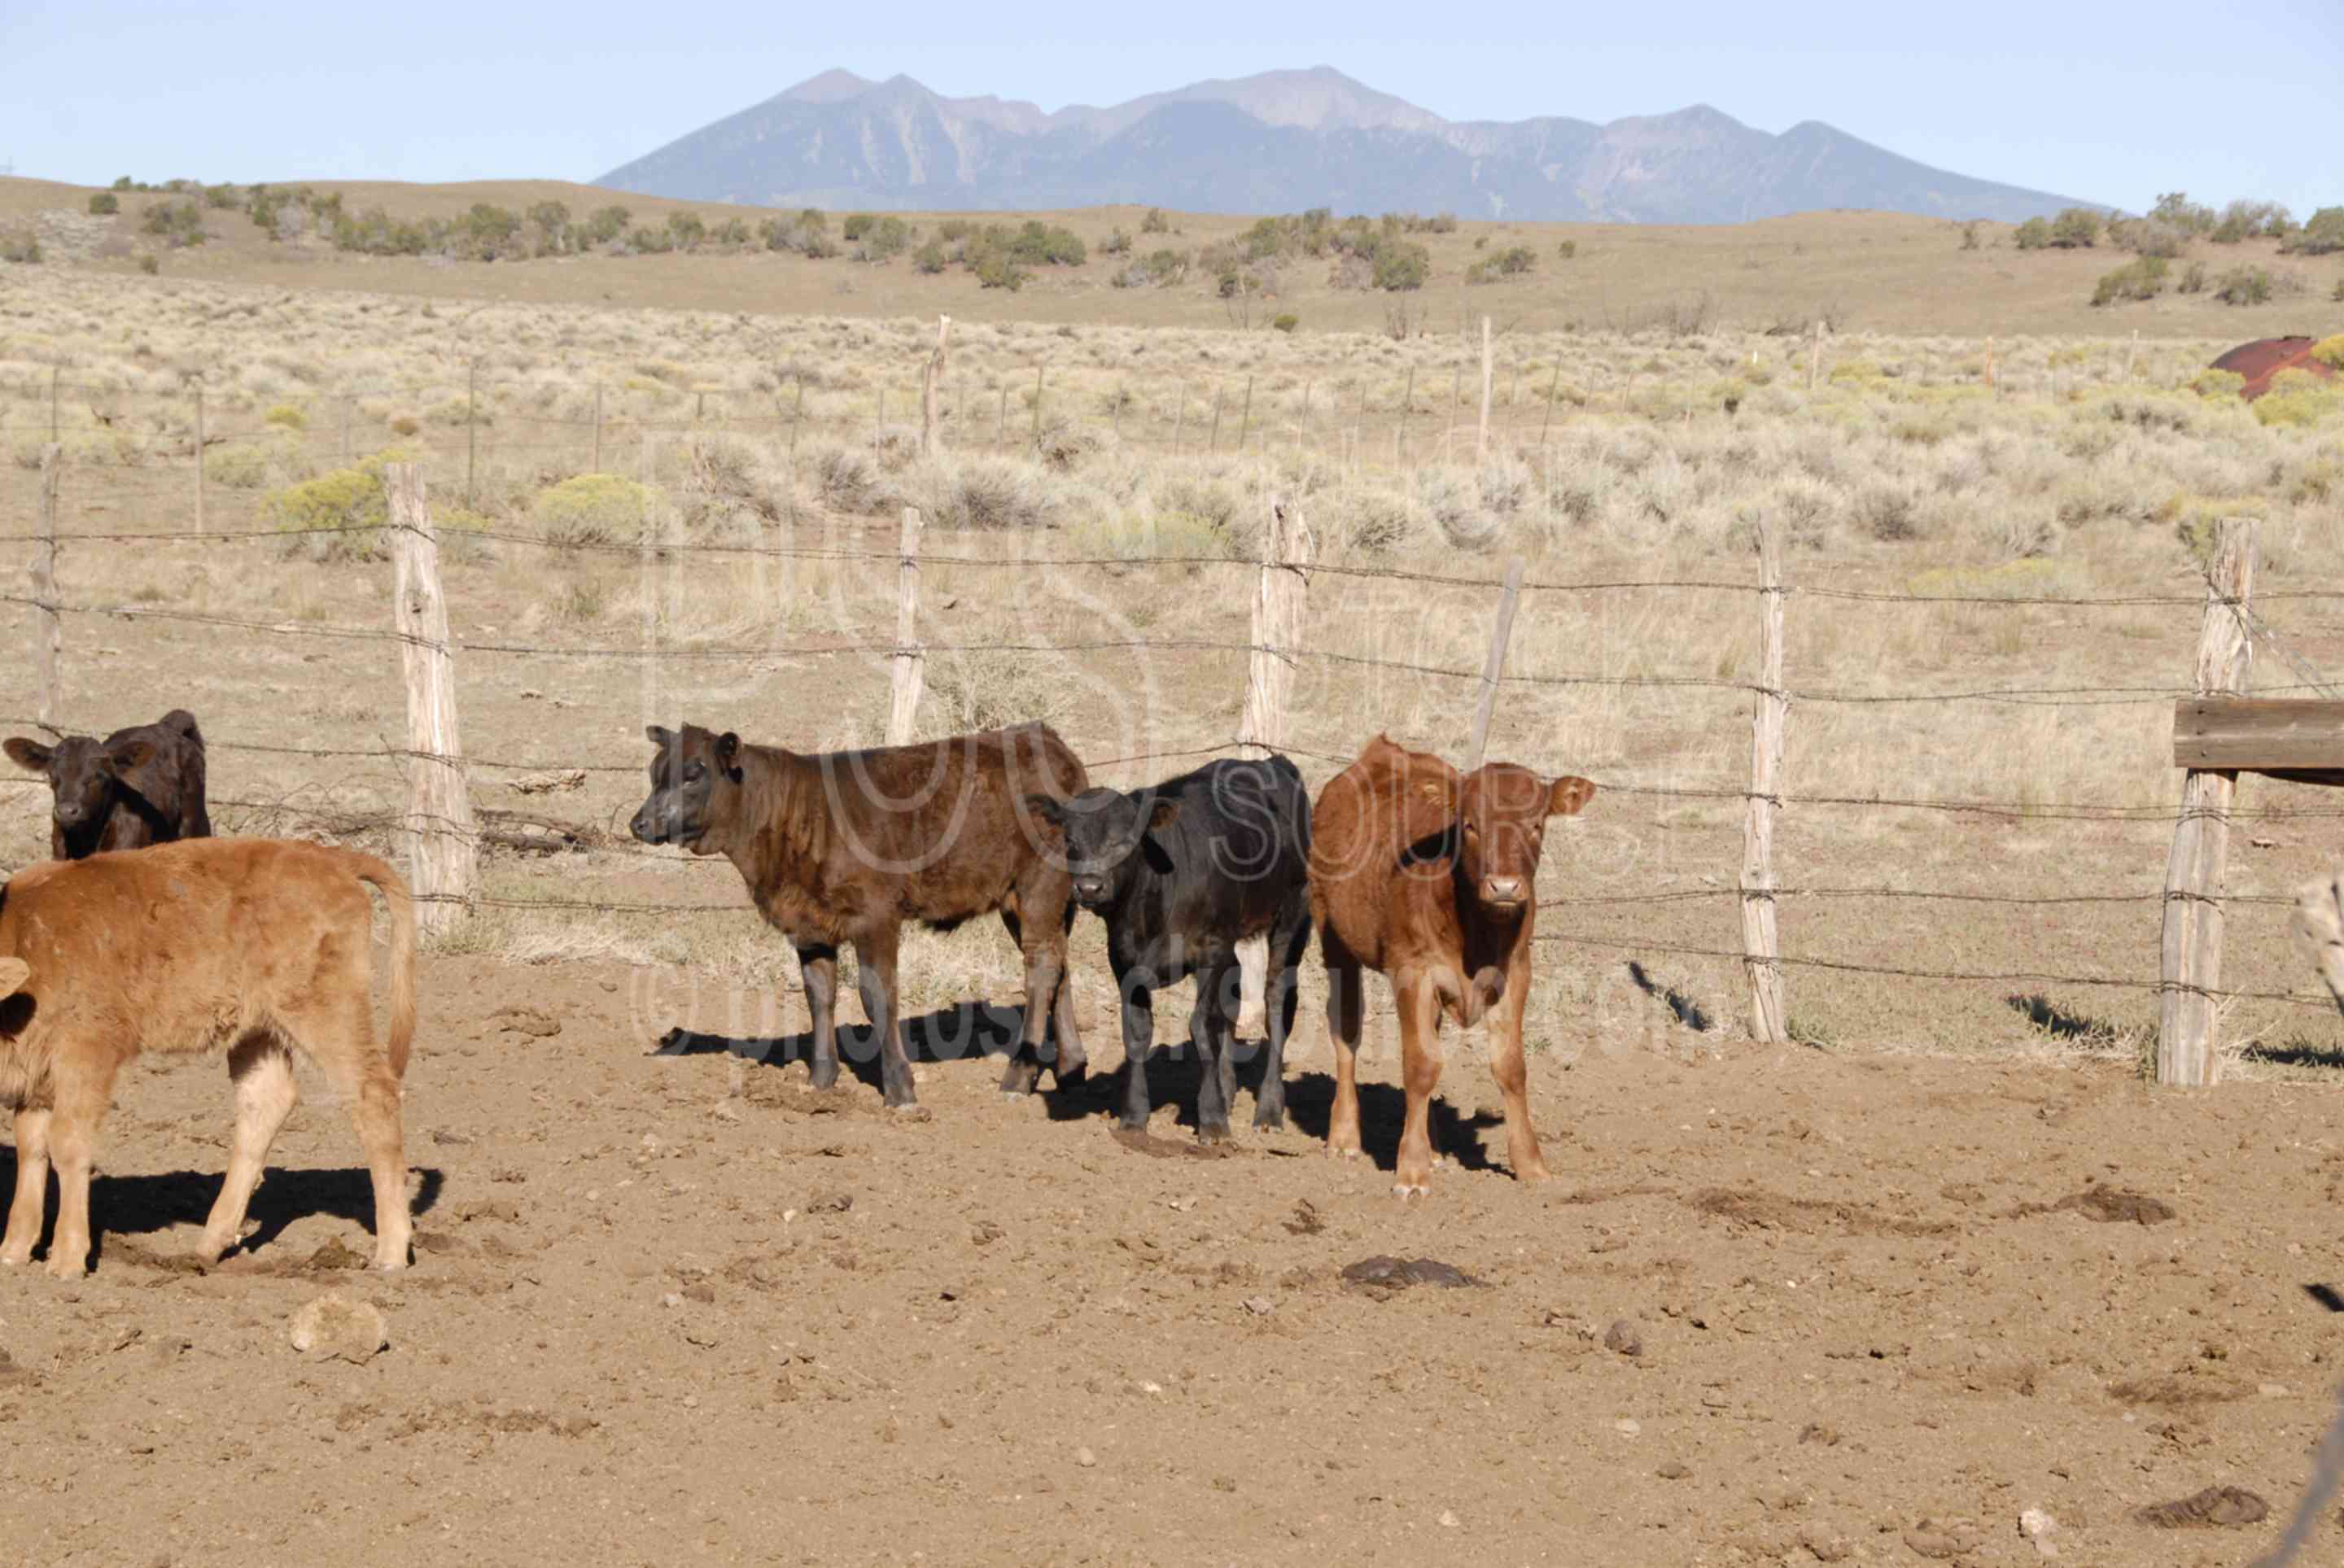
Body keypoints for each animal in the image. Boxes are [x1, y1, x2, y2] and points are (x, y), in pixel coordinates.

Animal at [0, 837, 416, 1277]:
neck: (25, 937)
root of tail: (333, 857)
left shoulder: (87, 1055)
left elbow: (66, 1142)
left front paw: (66, 1259)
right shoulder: (35, 1076)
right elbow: (31, 1146)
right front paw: (13, 1250)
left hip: (326, 1013)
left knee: (373, 1094)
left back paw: (390, 1253)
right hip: (258, 1030)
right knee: (265, 1102)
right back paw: (209, 1245)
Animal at [629, 722, 1089, 1108]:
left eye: (694, 774)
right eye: (654, 773)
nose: (640, 823)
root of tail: (1043, 736)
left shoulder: (876, 919)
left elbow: (877, 997)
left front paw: (900, 1089)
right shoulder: (810, 929)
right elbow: (820, 995)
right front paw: (820, 1080)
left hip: (1041, 887)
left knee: (1041, 969)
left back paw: (1018, 1077)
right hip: (1025, 900)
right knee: (1058, 966)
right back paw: (1070, 1068)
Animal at [1026, 755, 1312, 1142]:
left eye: (1124, 840)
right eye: (1071, 840)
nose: (1089, 887)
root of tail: (1271, 762)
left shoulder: (1211, 951)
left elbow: (1202, 1026)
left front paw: (1212, 1121)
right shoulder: (1124, 961)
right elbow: (1137, 1032)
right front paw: (1134, 1117)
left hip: (1292, 918)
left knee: (1277, 1003)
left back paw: (1268, 1110)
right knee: (1233, 999)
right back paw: (1227, 1090)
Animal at [1308, 735, 1595, 1196]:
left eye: (1537, 824)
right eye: (1470, 825)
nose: (1505, 887)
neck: (1477, 931)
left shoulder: (1516, 973)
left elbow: (1510, 1067)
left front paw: (1531, 1165)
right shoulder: (1412, 973)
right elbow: (1420, 1067)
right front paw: (1411, 1171)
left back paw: (1435, 1149)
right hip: (1335, 941)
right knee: (1346, 1033)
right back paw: (1345, 1136)